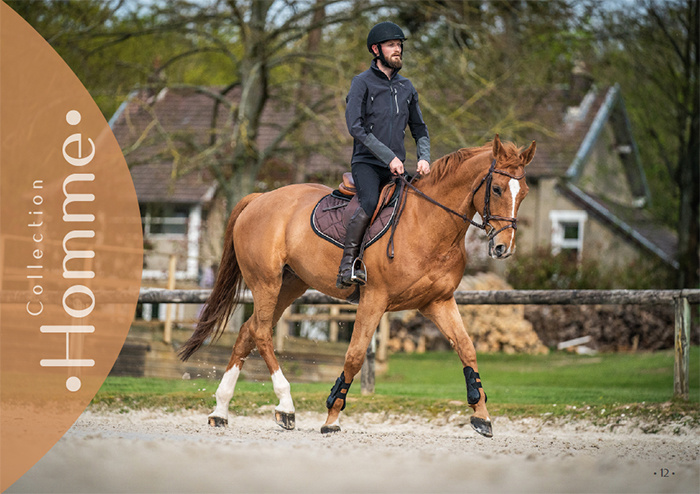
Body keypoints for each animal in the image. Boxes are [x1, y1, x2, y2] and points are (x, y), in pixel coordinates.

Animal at [178, 134, 532, 436]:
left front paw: (481, 415)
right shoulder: (374, 298)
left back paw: (221, 410)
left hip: (290, 285)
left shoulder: (438, 301)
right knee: (262, 333)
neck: (428, 223)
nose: (503, 248)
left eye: (524, 192)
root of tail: (260, 198)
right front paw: (332, 417)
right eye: (497, 189)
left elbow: (466, 348)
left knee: (248, 332)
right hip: (266, 282)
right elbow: (355, 355)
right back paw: (286, 406)